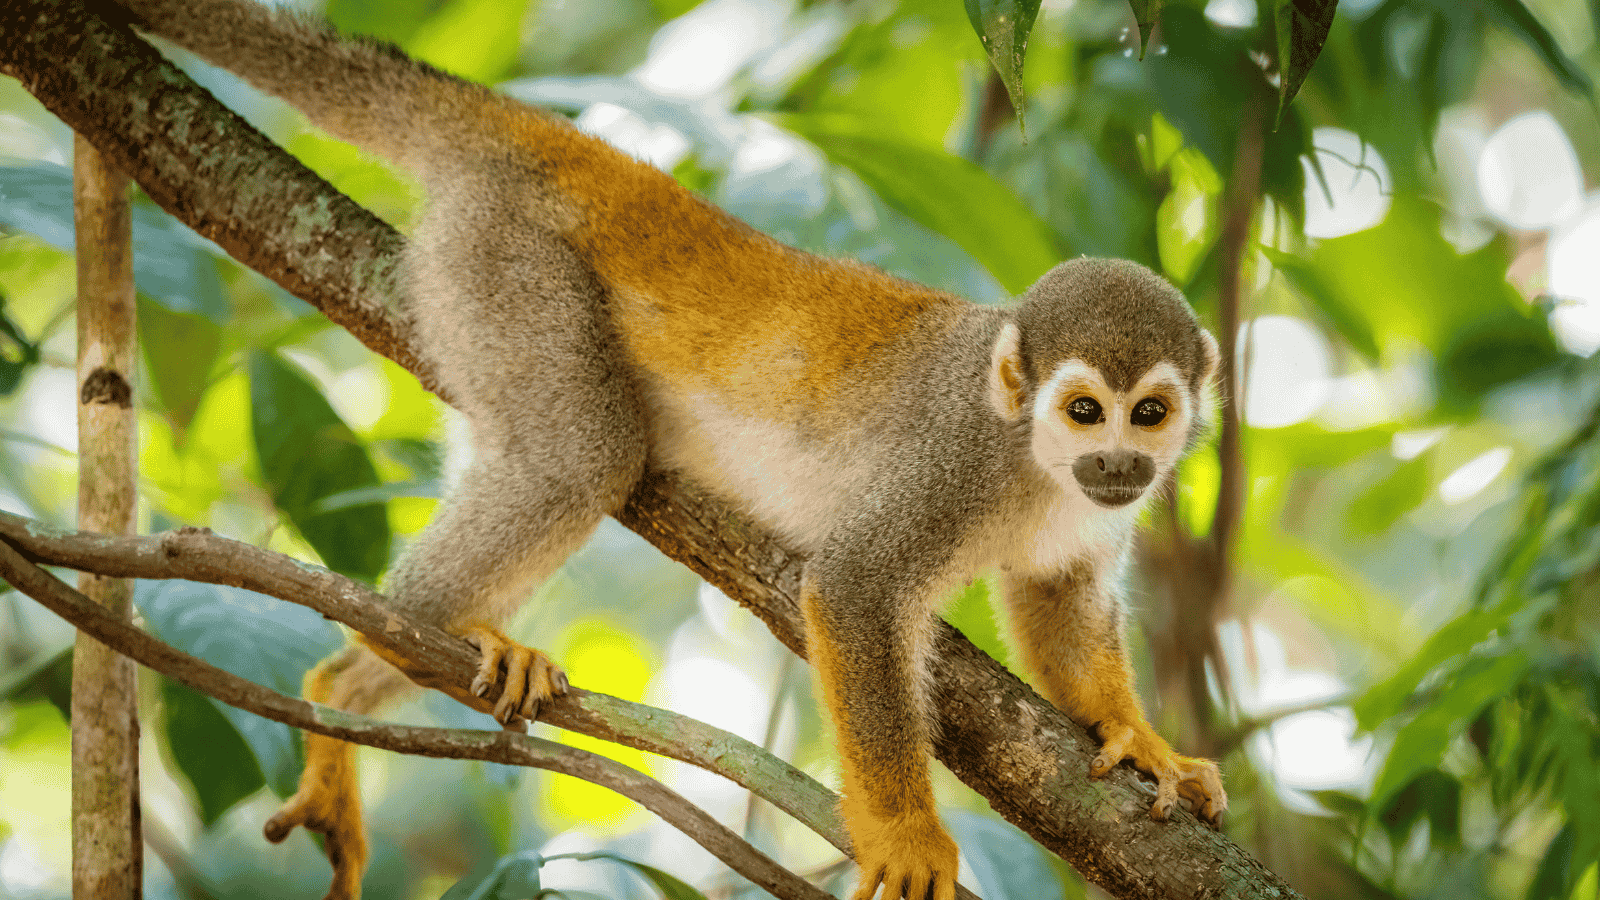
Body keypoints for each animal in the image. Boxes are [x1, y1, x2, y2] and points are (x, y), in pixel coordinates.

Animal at [106, 2, 1229, 898]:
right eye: (1082, 410)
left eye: (1148, 414)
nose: (1119, 465)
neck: (1032, 461)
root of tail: (563, 148)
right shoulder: (952, 463)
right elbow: (855, 589)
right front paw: (906, 831)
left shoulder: (1089, 519)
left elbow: (1058, 602)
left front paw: (1140, 740)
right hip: (506, 264)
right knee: (582, 461)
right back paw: (388, 649)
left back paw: (358, 683)